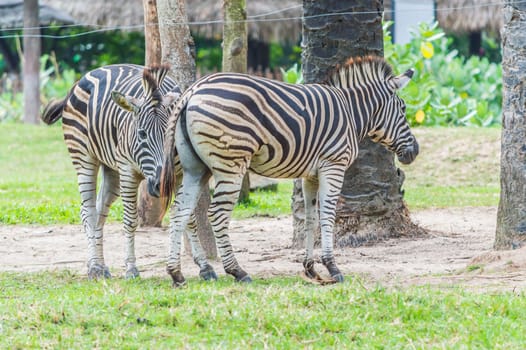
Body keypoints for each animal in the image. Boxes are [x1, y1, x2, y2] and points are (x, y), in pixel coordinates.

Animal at [39, 64, 217, 280]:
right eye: (141, 134)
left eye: (171, 134)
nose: (160, 185)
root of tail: (82, 79)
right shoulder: (128, 172)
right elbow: (131, 220)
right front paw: (131, 268)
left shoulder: (181, 172)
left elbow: (189, 219)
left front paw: (205, 267)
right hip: (84, 158)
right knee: (88, 211)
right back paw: (94, 267)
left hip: (111, 170)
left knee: (99, 210)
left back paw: (100, 265)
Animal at [161, 54, 420, 284]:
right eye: (403, 108)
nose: (415, 151)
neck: (350, 112)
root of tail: (193, 90)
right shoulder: (333, 165)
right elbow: (328, 216)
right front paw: (332, 267)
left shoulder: (311, 175)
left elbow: (310, 218)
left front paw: (310, 268)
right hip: (230, 164)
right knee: (216, 214)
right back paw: (237, 271)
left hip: (196, 168)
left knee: (180, 212)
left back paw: (177, 273)